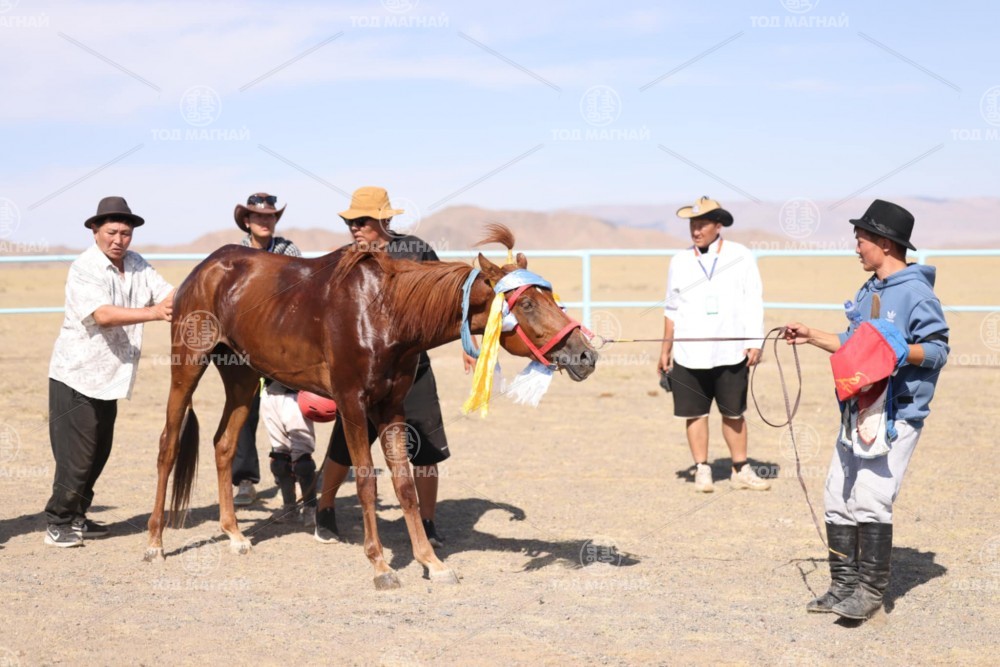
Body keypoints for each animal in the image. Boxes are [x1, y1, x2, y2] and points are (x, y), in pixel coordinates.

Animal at [144, 224, 599, 589]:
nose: (585, 354)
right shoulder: (351, 403)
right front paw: (381, 565)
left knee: (223, 444)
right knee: (167, 445)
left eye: (552, 298)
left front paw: (431, 562)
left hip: (240, 378)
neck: (385, 311)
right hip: (187, 366)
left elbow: (405, 485)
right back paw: (154, 542)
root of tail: (207, 267)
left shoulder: (390, 406)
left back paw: (235, 534)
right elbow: (365, 481)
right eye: (527, 304)